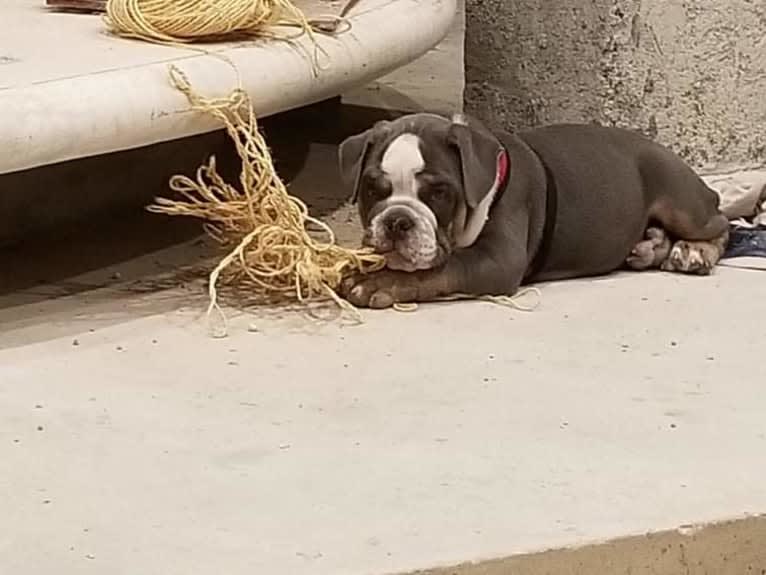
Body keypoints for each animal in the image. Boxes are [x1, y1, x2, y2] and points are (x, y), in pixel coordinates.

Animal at [338, 113, 732, 310]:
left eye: (439, 192)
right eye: (372, 189)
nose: (397, 220)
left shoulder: (497, 259)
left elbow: (436, 270)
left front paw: (378, 283)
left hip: (682, 202)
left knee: (722, 221)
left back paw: (694, 251)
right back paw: (650, 247)